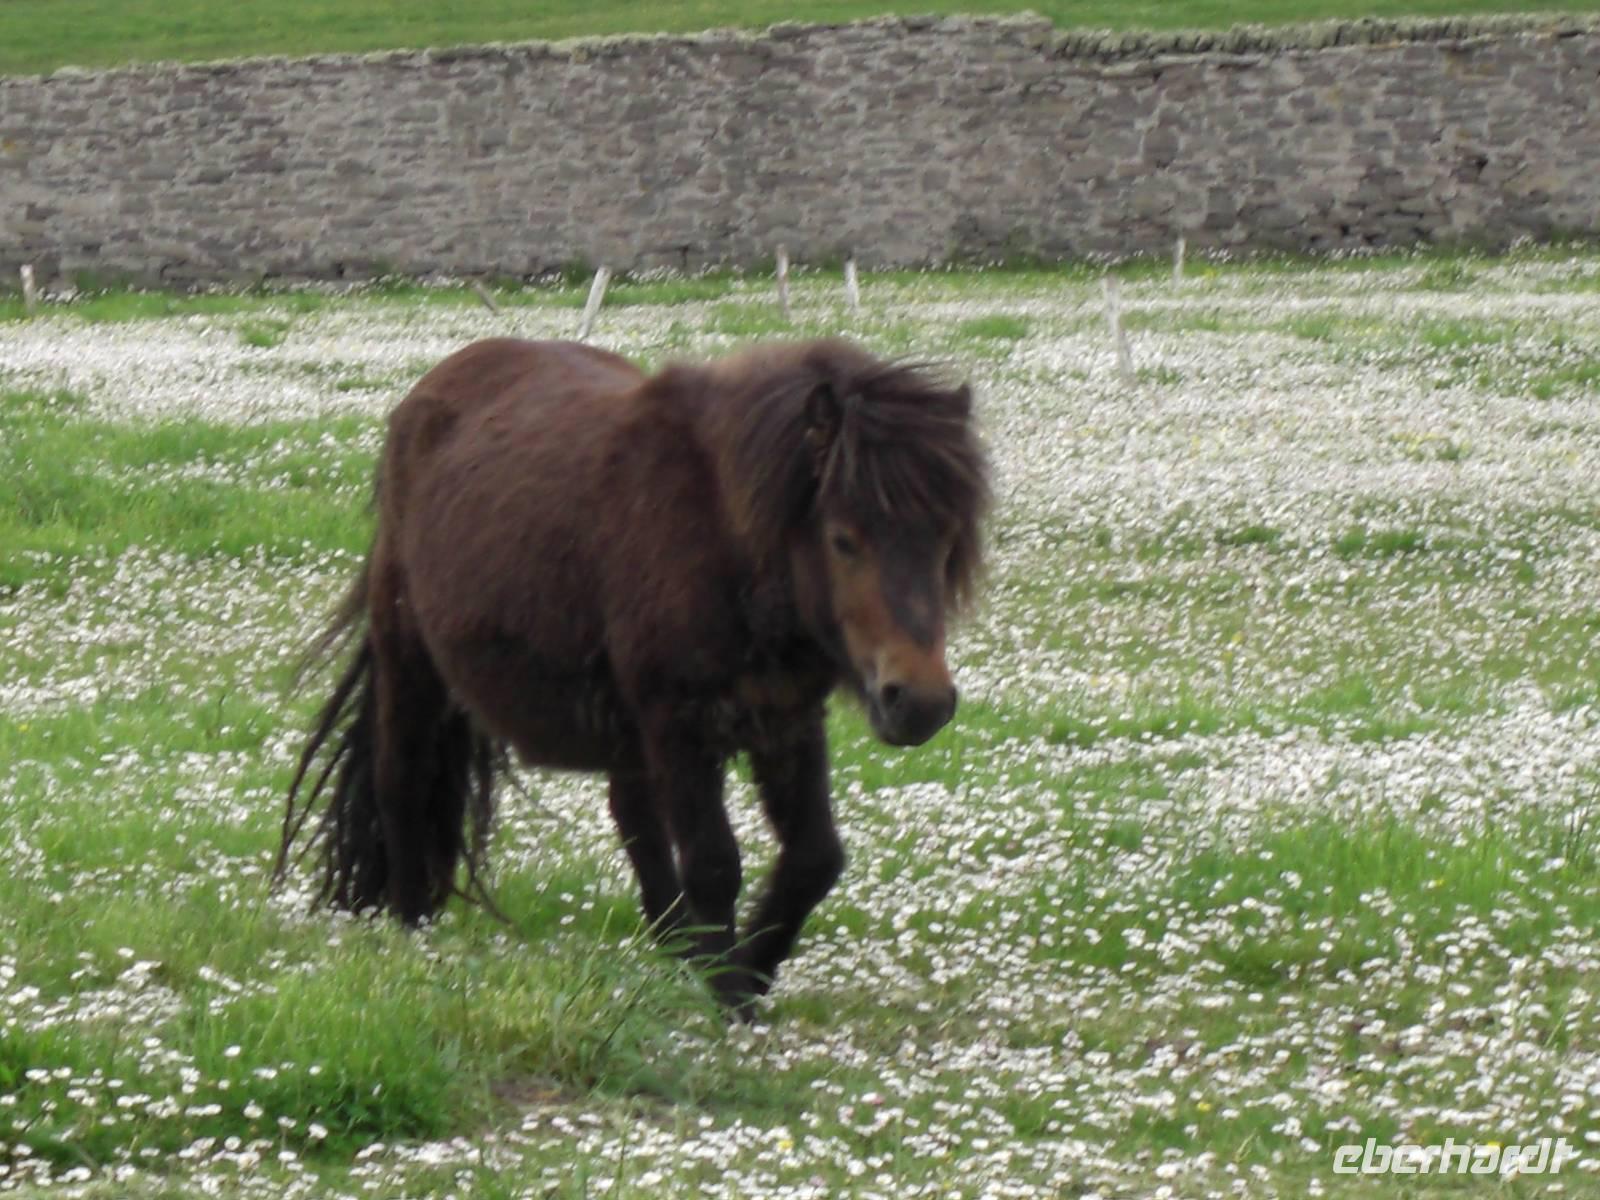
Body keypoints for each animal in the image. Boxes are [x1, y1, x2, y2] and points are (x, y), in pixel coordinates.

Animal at [277, 335, 988, 1015]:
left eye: (947, 538)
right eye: (843, 540)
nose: (920, 702)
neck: (720, 533)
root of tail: (427, 394)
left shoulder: (786, 720)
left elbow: (816, 857)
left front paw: (749, 968)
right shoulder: (679, 724)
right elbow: (714, 863)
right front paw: (730, 994)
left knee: (631, 813)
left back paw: (675, 949)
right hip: (411, 661)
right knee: (401, 781)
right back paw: (410, 926)